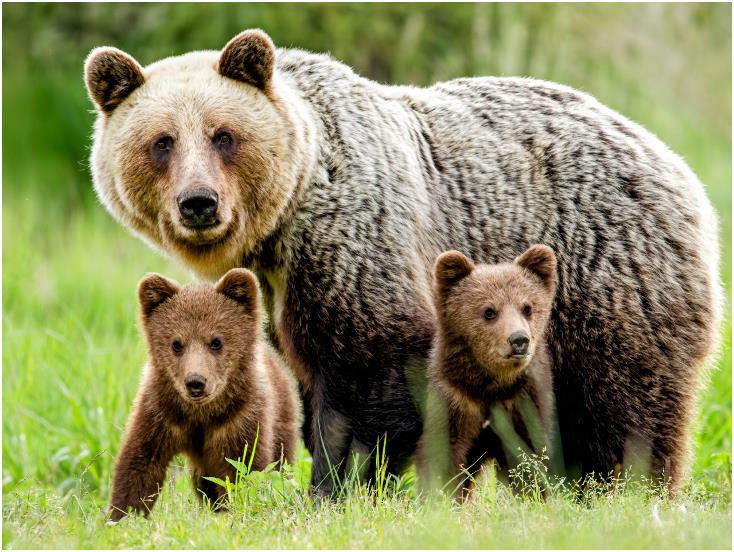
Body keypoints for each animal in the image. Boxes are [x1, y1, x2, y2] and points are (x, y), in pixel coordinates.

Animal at [86, 29, 724, 496]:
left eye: (223, 135)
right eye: (161, 141)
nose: (199, 203)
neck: (281, 227)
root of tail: (669, 157)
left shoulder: (356, 244)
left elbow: (369, 375)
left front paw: (335, 489)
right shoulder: (282, 294)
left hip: (607, 279)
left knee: (624, 407)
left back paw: (624, 490)